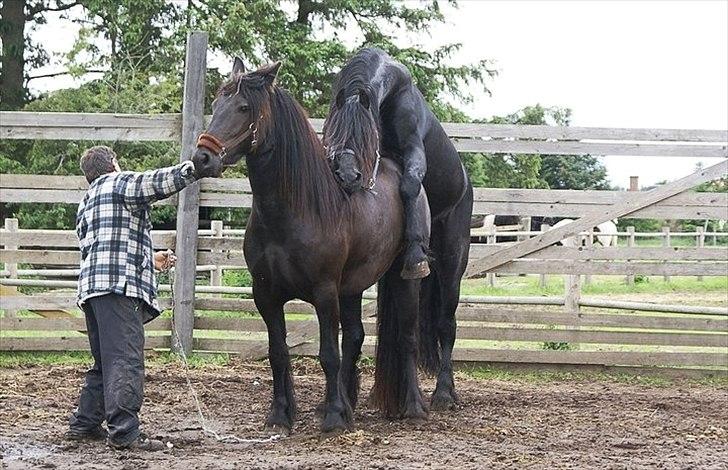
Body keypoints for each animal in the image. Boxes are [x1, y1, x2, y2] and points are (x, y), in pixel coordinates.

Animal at [193, 59, 432, 434]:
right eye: (216, 105)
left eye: (243, 107)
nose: (202, 157)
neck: (295, 211)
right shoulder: (266, 295)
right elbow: (279, 353)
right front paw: (281, 415)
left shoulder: (324, 293)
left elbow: (327, 355)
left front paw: (333, 418)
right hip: (352, 288)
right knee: (355, 337)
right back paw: (346, 403)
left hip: (402, 279)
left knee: (406, 337)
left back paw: (412, 406)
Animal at [322, 46, 472, 410]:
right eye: (332, 133)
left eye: (366, 136)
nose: (348, 176)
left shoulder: (413, 151)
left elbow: (410, 184)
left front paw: (416, 251)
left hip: (452, 266)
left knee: (447, 326)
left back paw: (444, 394)